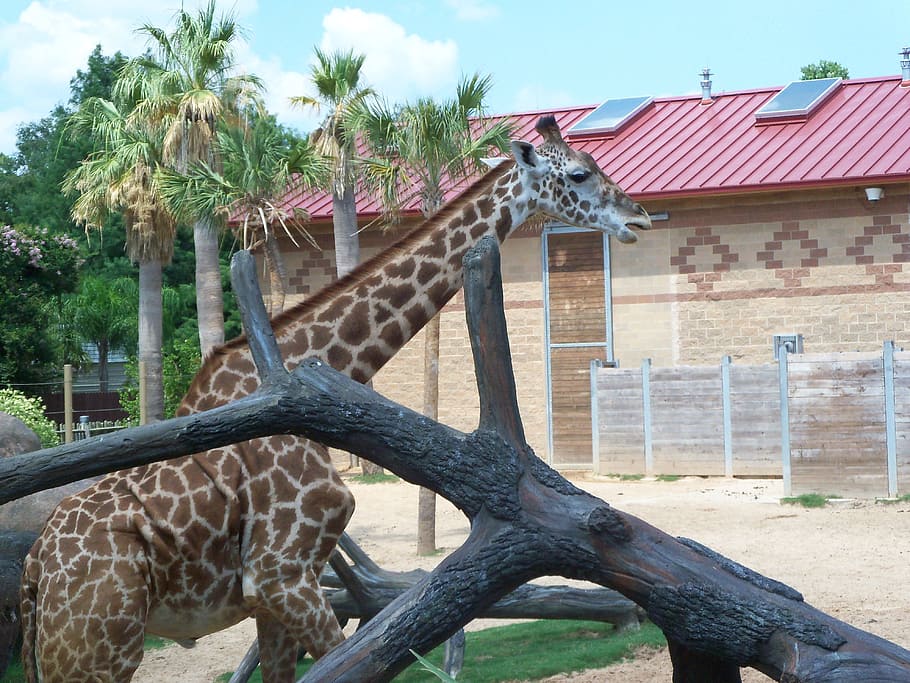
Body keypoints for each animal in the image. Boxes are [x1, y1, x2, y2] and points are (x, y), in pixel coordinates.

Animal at [20, 116, 651, 682]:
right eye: (580, 172)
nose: (638, 217)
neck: (326, 361)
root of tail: (33, 572)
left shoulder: (271, 591)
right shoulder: (281, 572)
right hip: (98, 649)